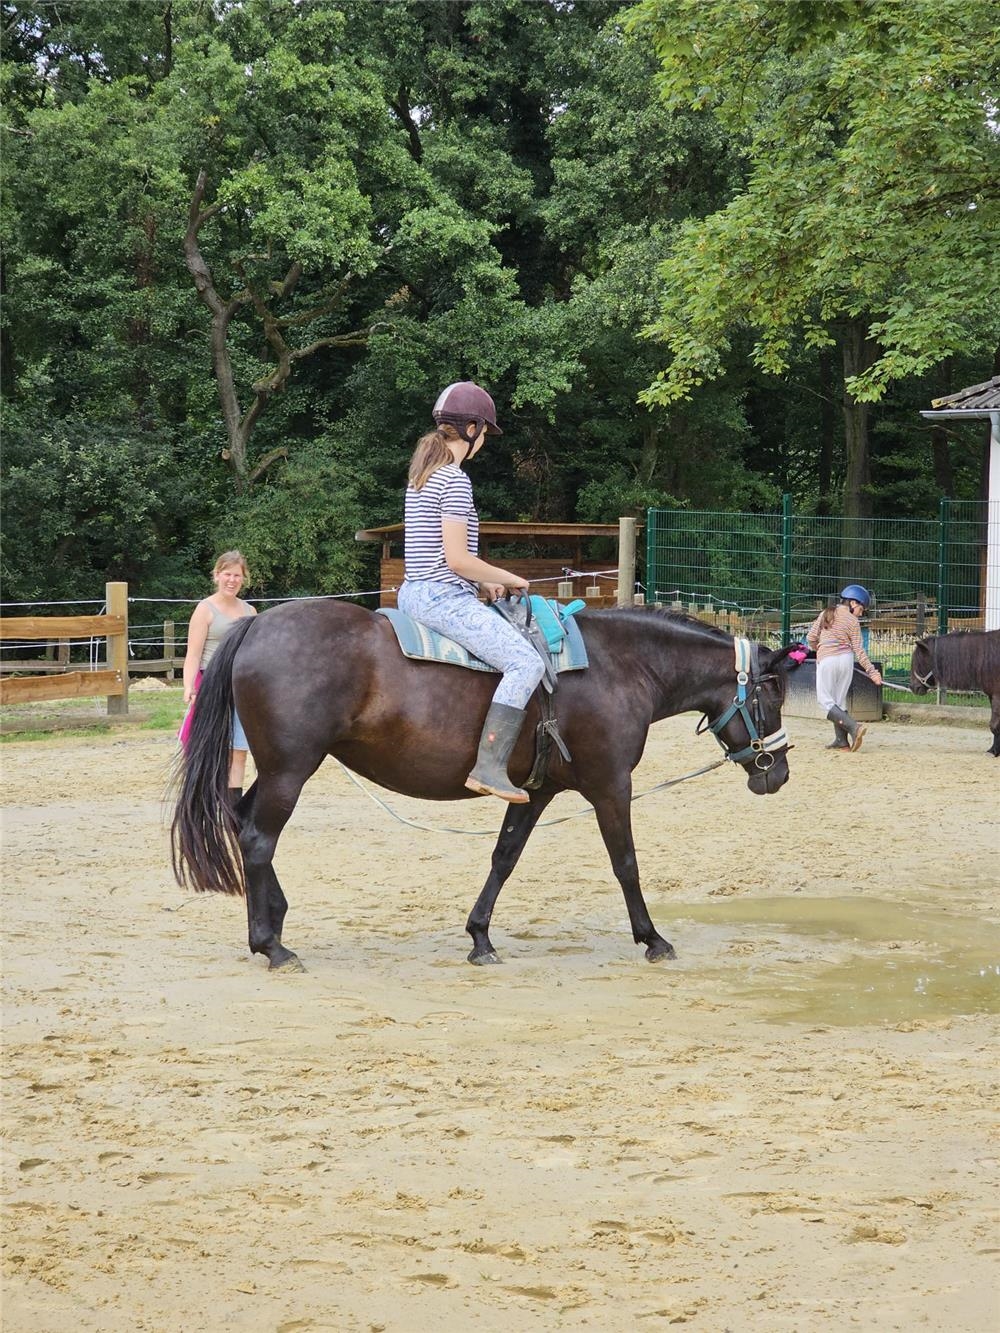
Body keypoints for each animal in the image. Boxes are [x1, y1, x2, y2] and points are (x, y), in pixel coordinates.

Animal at [172, 602, 800, 970]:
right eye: (771, 693)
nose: (779, 771)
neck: (619, 666)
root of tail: (257, 623)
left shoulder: (536, 792)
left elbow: (505, 857)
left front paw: (479, 937)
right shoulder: (610, 787)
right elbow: (626, 863)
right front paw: (651, 938)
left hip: (283, 769)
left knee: (242, 823)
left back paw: (274, 917)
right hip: (291, 769)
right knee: (258, 839)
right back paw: (271, 944)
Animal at [912, 629, 1000, 757]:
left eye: (918, 663)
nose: (912, 687)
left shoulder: (997, 696)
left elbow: (994, 724)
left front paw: (993, 751)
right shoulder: (991, 696)